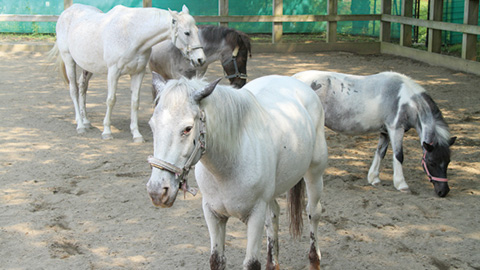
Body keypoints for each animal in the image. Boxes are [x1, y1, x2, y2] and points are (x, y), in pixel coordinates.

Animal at [53, 4, 206, 142]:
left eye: (196, 30)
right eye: (187, 33)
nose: (201, 59)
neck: (132, 33)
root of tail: (67, 11)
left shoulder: (138, 73)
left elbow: (135, 102)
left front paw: (136, 134)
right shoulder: (113, 72)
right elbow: (111, 100)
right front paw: (107, 132)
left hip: (88, 67)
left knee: (83, 87)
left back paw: (86, 121)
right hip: (69, 60)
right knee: (74, 90)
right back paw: (80, 125)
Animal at [146, 73, 326, 268]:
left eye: (187, 129)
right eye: (152, 126)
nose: (157, 191)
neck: (227, 166)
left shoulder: (255, 215)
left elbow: (252, 263)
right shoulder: (213, 214)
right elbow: (216, 260)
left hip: (314, 173)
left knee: (313, 212)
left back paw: (314, 260)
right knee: (273, 217)